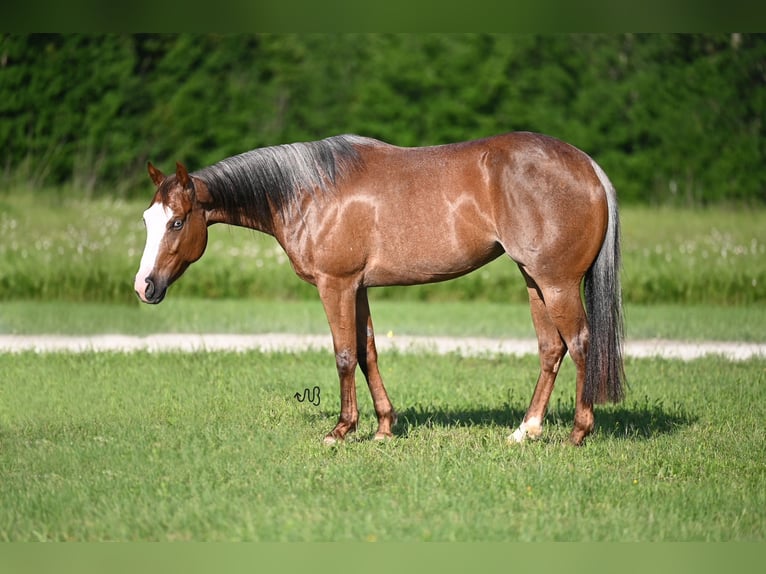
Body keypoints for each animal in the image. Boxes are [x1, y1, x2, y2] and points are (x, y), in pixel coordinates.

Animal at [134, 133, 624, 448]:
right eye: (146, 220)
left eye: (177, 222)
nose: (145, 287)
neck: (310, 191)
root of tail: (588, 166)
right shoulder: (358, 287)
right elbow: (367, 351)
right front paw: (384, 427)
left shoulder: (335, 285)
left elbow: (344, 355)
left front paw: (340, 431)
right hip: (534, 281)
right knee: (550, 349)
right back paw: (526, 431)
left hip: (556, 284)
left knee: (580, 343)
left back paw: (578, 433)